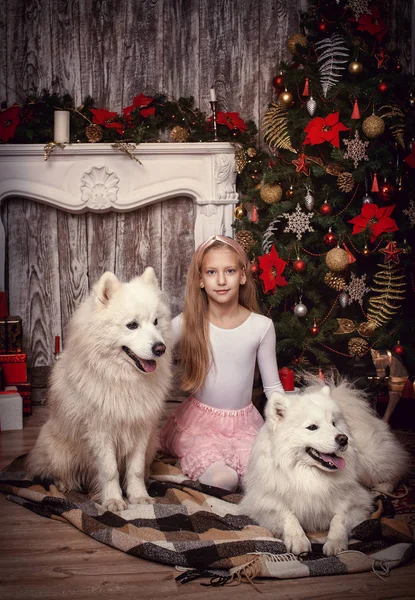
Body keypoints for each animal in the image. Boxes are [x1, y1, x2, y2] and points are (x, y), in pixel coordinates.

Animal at [27, 270, 171, 510]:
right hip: (58, 451)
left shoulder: (141, 430)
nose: (161, 348)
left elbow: (135, 469)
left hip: (152, 444)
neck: (122, 379)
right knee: (56, 471)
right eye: (132, 325)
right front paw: (113, 500)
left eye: (156, 322)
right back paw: (65, 485)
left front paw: (138, 497)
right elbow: (110, 471)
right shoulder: (100, 433)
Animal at [240, 382, 410, 556]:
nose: (343, 439)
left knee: (398, 470)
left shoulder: (359, 502)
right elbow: (287, 515)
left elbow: (340, 517)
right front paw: (298, 540)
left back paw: (383, 488)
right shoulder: (262, 505)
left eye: (334, 424)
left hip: (374, 462)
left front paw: (335, 542)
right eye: (312, 427)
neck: (308, 474)